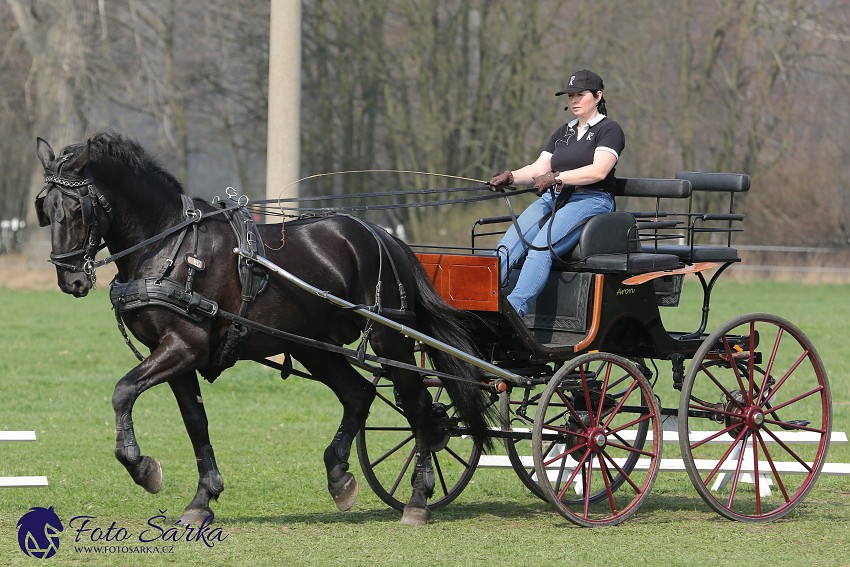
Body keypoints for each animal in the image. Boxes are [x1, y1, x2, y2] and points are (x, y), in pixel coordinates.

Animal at [36, 131, 494, 524]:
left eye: (77, 210)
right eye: (45, 209)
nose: (70, 280)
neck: (169, 245)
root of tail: (383, 236)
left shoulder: (184, 346)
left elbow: (123, 391)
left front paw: (141, 467)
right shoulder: (176, 354)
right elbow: (195, 423)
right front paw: (202, 499)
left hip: (390, 338)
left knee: (418, 408)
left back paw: (417, 498)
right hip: (314, 344)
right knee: (358, 394)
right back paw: (339, 476)